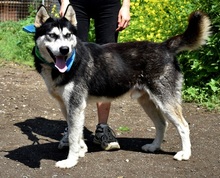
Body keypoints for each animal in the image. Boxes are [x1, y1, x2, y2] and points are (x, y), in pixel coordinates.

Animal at [33, 4, 211, 168]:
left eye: (68, 35)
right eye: (52, 35)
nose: (64, 49)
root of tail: (164, 46)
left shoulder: (75, 105)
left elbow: (73, 136)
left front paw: (70, 161)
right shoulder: (66, 106)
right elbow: (74, 133)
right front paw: (81, 150)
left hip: (165, 102)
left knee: (183, 125)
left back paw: (185, 154)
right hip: (147, 102)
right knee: (162, 124)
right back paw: (154, 146)